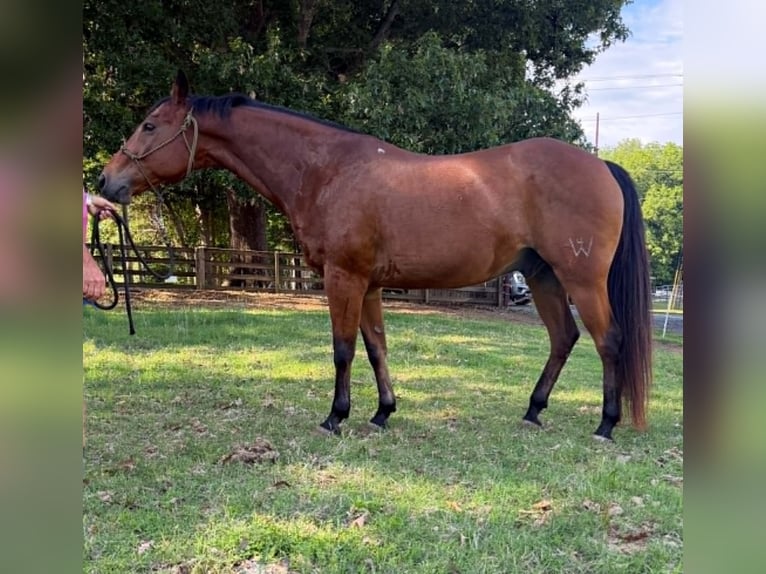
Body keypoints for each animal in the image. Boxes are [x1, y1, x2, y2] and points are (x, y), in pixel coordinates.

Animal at [98, 71, 652, 441]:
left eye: (150, 126)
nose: (106, 181)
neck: (327, 169)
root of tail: (601, 164)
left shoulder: (343, 278)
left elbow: (343, 349)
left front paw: (335, 417)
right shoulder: (368, 284)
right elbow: (376, 347)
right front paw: (383, 412)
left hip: (580, 278)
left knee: (608, 341)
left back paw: (606, 424)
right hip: (542, 277)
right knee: (564, 338)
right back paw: (534, 410)